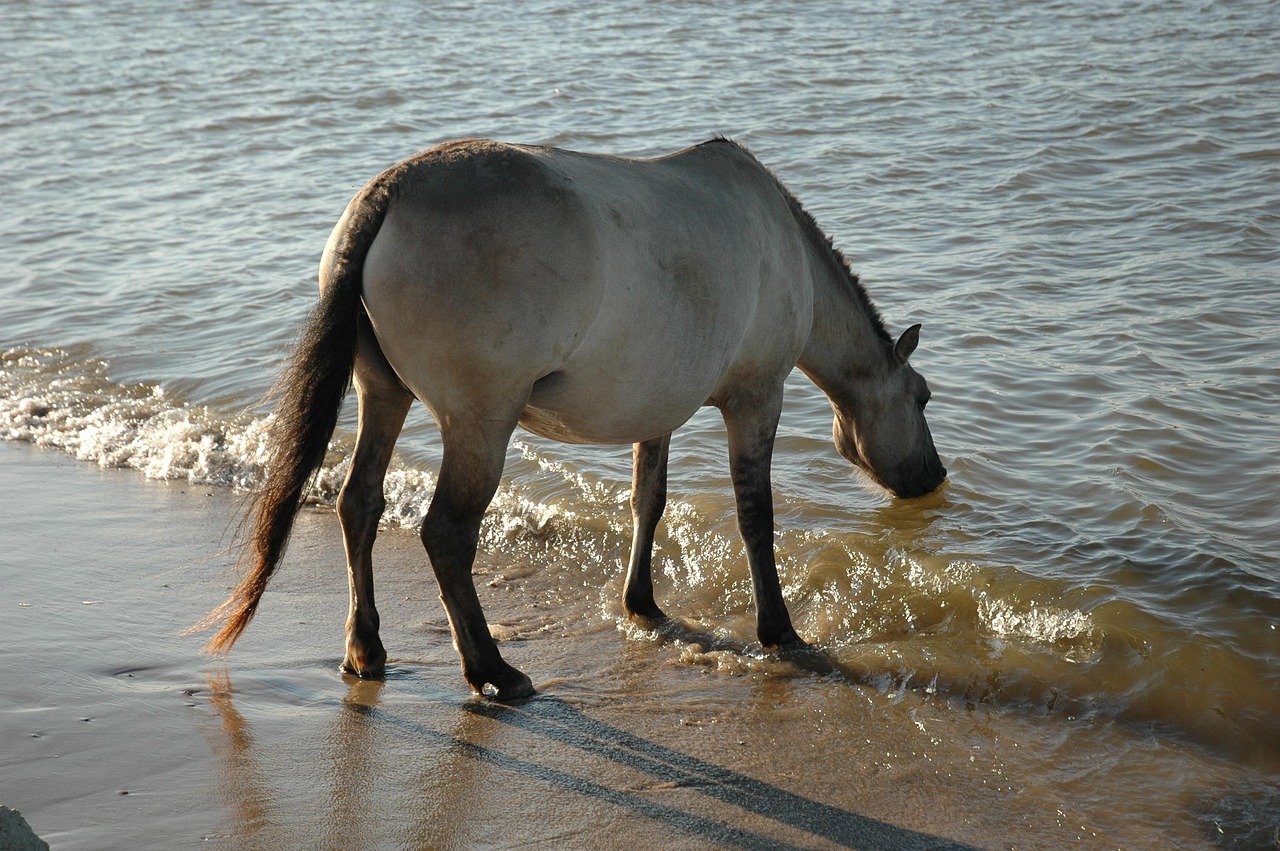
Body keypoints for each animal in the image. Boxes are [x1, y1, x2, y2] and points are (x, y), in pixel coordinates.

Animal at [195, 138, 946, 699]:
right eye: (922, 396)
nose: (933, 476)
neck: (781, 242)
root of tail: (388, 194)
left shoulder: (657, 407)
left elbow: (649, 500)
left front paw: (642, 602)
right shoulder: (757, 397)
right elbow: (755, 518)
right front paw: (779, 629)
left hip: (384, 393)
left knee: (360, 504)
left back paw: (367, 648)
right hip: (481, 421)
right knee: (446, 533)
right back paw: (492, 670)